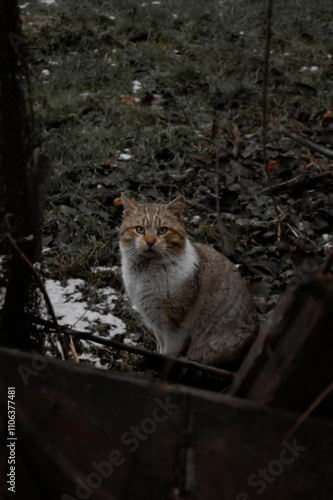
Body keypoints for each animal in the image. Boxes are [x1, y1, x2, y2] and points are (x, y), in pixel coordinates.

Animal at [118, 193, 258, 366]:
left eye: (163, 230)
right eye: (139, 229)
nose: (150, 242)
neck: (145, 270)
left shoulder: (176, 325)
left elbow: (169, 353)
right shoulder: (155, 321)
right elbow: (162, 347)